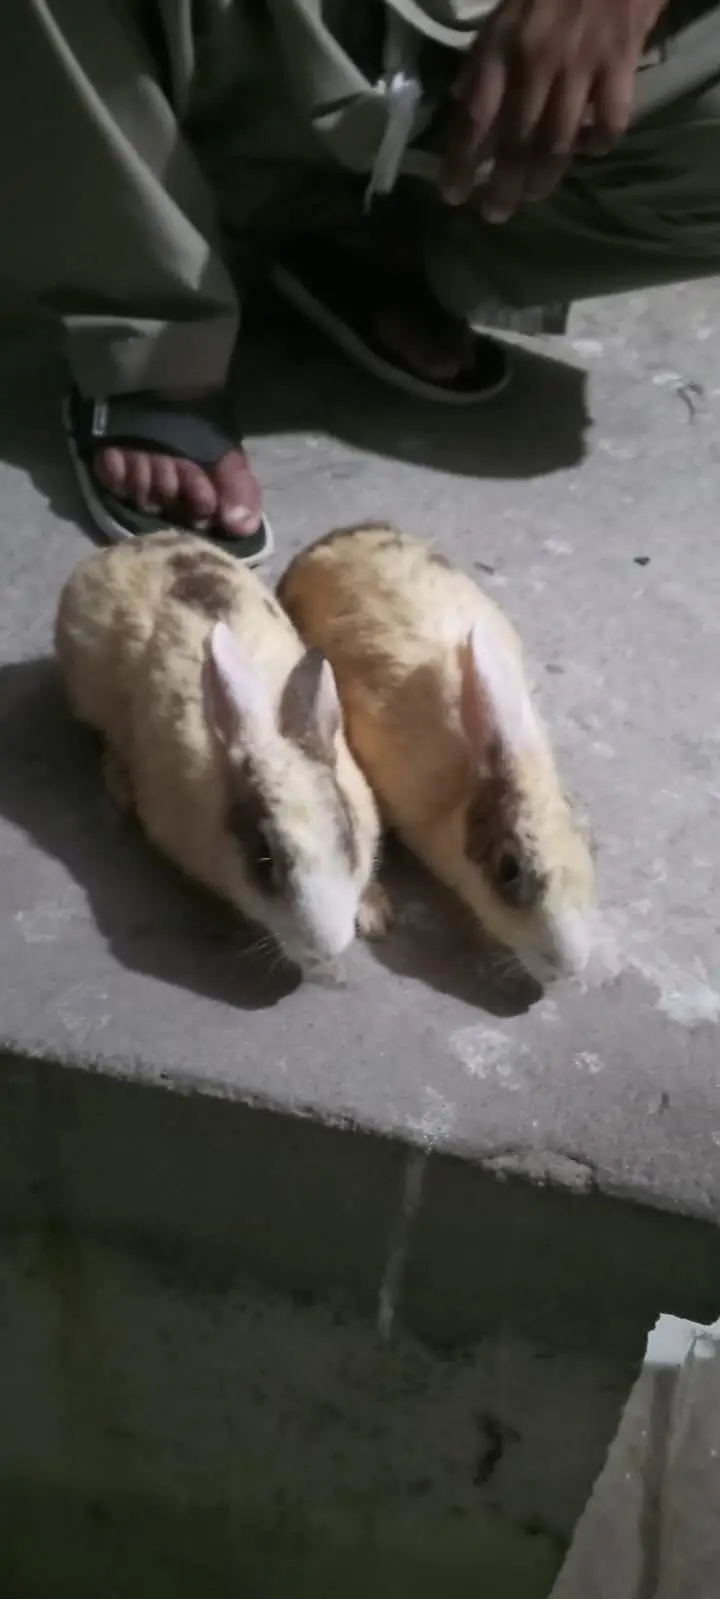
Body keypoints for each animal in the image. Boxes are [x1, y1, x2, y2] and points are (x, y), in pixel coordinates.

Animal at [55, 532, 388, 971]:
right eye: (263, 860)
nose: (326, 948)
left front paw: (376, 914)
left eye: (347, 836)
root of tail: (115, 551)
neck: (262, 732)